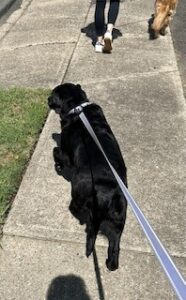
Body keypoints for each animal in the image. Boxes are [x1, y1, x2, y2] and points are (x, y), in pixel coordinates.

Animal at [47, 83, 128, 270]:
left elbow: (55, 151)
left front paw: (58, 166)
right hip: (118, 221)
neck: (78, 107)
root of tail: (108, 195)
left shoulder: (66, 154)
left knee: (81, 214)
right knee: (115, 246)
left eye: (52, 96)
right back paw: (111, 263)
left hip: (78, 197)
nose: (47, 99)